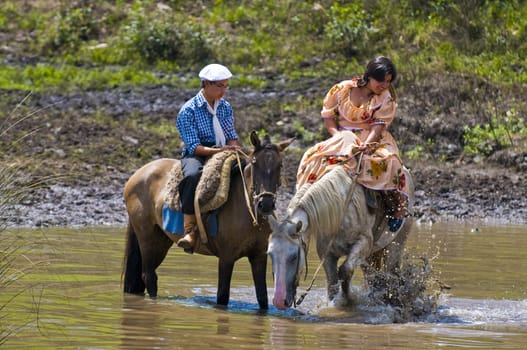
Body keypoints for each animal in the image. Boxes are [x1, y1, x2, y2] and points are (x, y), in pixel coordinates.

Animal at [124, 132, 296, 308]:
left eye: (280, 165)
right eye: (254, 163)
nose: (265, 204)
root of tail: (139, 173)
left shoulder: (259, 257)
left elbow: (262, 298)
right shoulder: (226, 257)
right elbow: (222, 296)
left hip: (161, 240)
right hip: (146, 238)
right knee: (149, 277)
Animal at [270, 166, 414, 308]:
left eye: (294, 256)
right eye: (270, 255)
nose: (279, 301)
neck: (338, 210)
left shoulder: (363, 242)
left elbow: (345, 270)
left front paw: (349, 299)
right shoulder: (327, 254)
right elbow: (332, 284)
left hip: (396, 245)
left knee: (392, 275)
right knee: (372, 276)